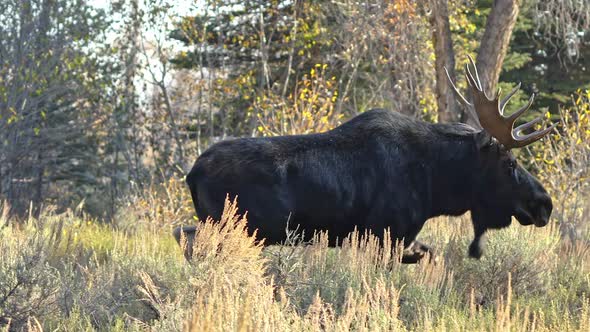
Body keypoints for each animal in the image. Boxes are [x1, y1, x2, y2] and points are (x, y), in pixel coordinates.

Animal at [176, 57, 560, 264]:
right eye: (509, 164)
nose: (545, 203)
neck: (437, 185)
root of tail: (192, 173)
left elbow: (428, 254)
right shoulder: (384, 232)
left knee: (182, 233)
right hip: (234, 226)